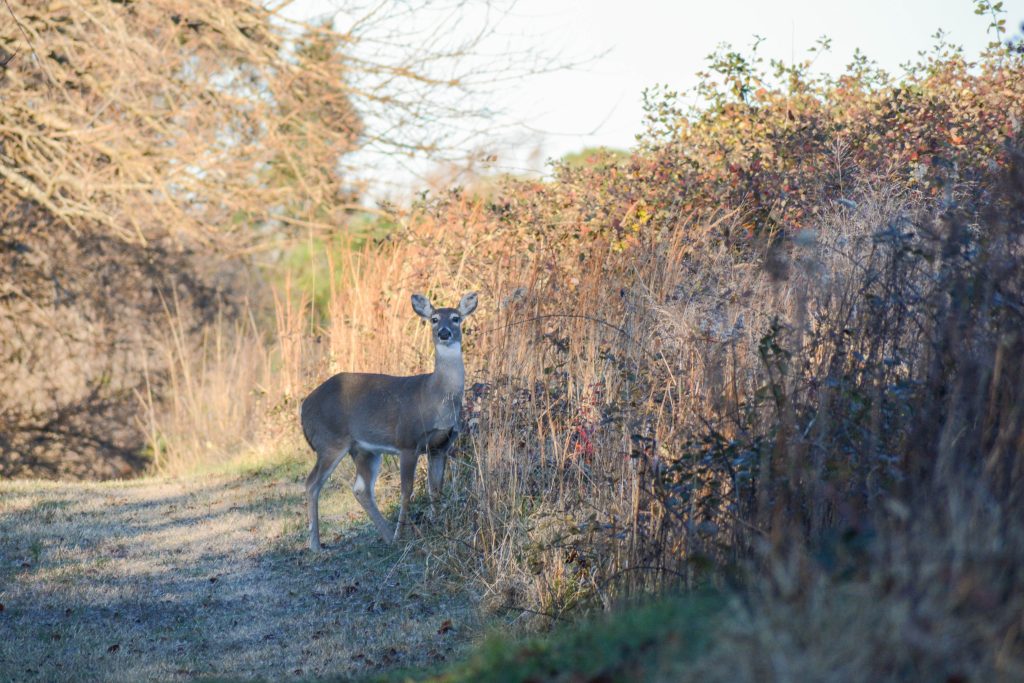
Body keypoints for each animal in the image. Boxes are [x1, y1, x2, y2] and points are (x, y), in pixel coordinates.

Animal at [300, 292, 478, 549]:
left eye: (456, 318)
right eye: (434, 319)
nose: (444, 332)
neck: (434, 396)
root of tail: (303, 407)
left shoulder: (440, 446)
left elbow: (435, 489)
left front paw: (438, 525)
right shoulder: (407, 441)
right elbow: (407, 491)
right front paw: (402, 533)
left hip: (364, 450)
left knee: (361, 489)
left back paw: (385, 536)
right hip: (329, 441)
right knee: (312, 483)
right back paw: (316, 545)